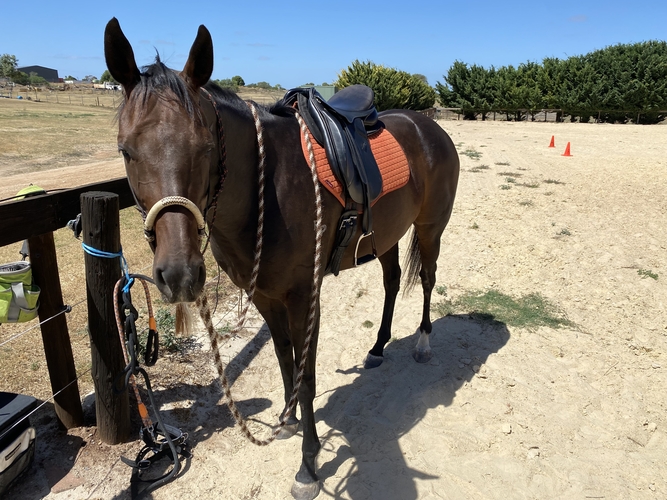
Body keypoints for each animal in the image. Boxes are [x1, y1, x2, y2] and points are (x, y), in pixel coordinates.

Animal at [104, 18, 459, 500]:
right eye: (126, 150)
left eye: (205, 148)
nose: (179, 274)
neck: (266, 190)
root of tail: (430, 128)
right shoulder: (265, 296)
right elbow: (282, 356)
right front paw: (287, 420)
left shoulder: (304, 296)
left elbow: (307, 375)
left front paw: (308, 466)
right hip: (385, 237)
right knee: (391, 282)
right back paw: (377, 347)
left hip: (429, 228)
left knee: (426, 281)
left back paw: (422, 343)